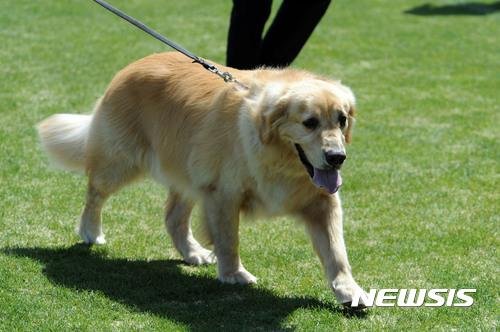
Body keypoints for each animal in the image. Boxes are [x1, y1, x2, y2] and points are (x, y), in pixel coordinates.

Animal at [38, 52, 368, 308]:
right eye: (309, 123)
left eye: (341, 120)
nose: (337, 157)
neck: (280, 159)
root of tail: (130, 67)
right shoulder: (223, 193)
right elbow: (229, 239)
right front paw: (233, 274)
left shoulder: (322, 201)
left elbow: (337, 251)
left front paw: (349, 290)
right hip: (121, 162)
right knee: (94, 192)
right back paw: (91, 231)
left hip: (190, 172)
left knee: (173, 216)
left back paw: (192, 252)